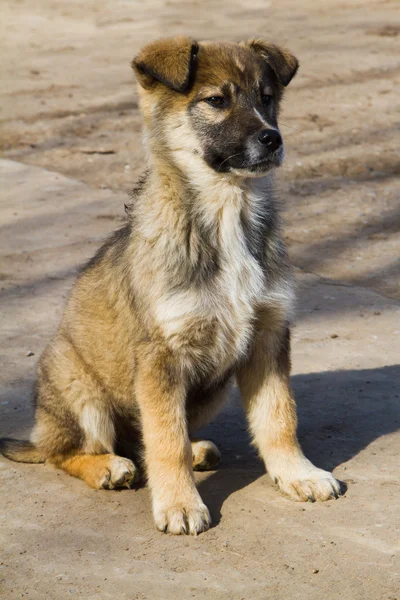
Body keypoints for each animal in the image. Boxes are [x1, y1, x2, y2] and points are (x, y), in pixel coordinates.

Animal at [0, 37, 340, 536]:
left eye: (267, 98)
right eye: (216, 101)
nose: (273, 139)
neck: (226, 212)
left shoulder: (268, 337)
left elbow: (279, 418)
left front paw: (298, 474)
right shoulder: (162, 354)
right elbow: (166, 439)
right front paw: (179, 503)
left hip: (211, 389)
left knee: (146, 439)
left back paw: (192, 451)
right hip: (77, 385)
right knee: (64, 452)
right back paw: (108, 466)